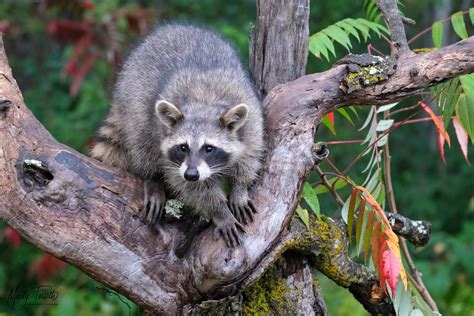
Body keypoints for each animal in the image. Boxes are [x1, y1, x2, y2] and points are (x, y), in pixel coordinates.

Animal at [90, 23, 264, 248]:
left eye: (209, 148)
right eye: (183, 147)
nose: (191, 174)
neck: (204, 103)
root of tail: (173, 28)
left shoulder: (252, 121)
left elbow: (249, 159)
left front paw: (239, 190)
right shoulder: (171, 156)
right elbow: (193, 189)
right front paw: (220, 211)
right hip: (135, 103)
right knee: (141, 140)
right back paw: (152, 178)